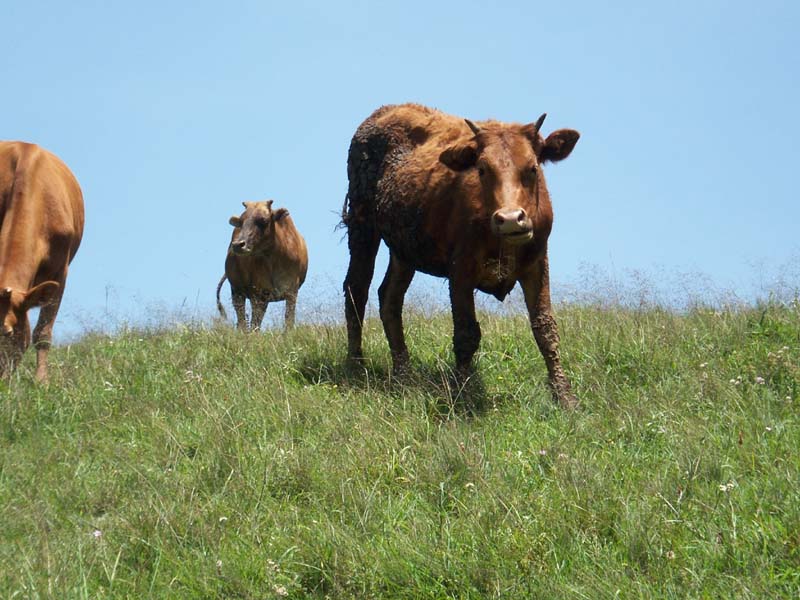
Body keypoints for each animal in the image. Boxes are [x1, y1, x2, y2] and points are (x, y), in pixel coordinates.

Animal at [217, 202, 308, 332]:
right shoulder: (259, 294)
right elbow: (255, 323)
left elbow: (289, 319)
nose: (238, 245)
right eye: (241, 221)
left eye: (264, 220)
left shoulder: (291, 291)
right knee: (242, 320)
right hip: (237, 291)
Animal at [340, 104, 580, 408]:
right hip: (362, 226)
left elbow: (545, 328)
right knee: (356, 289)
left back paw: (404, 374)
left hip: (403, 249)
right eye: (482, 169)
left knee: (390, 298)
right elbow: (466, 333)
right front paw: (463, 394)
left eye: (533, 168)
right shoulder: (461, 269)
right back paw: (356, 365)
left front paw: (564, 396)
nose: (510, 219)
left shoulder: (537, 265)